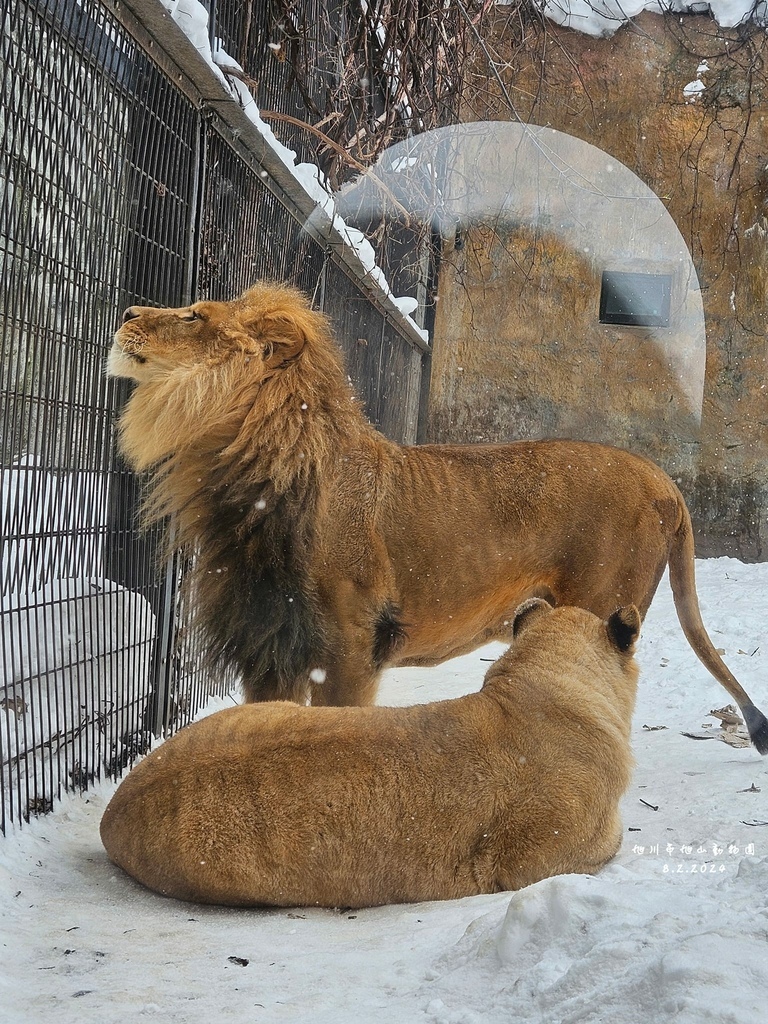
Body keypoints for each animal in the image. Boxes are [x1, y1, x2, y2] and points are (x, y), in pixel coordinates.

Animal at [108, 280, 768, 753]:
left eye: (195, 317)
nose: (126, 310)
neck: (243, 466)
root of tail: (665, 481)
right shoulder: (268, 642)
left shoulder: (350, 648)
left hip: (603, 606)